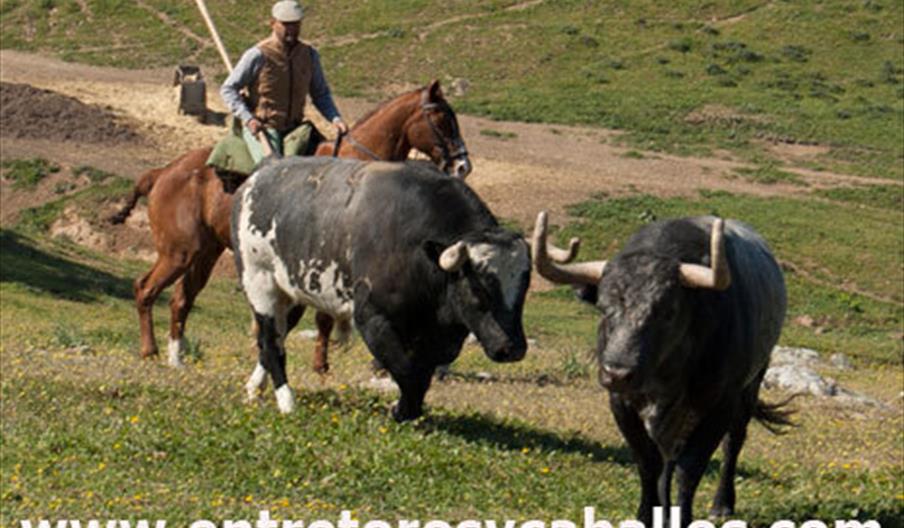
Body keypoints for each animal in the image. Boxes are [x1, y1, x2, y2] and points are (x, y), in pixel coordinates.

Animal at [110, 80, 471, 371]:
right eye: (442, 119)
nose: (463, 165)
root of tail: (162, 173)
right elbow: (319, 315)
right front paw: (319, 363)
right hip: (179, 253)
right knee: (145, 289)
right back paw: (150, 350)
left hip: (204, 255)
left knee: (180, 300)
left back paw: (177, 357)